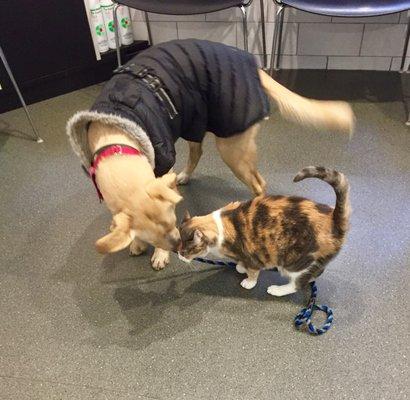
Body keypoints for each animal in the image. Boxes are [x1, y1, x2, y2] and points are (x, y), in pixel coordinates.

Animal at [65, 39, 354, 270]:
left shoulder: (162, 162)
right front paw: (135, 243)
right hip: (193, 119)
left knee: (258, 183)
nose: (178, 247)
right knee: (197, 151)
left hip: (232, 148)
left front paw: (159, 255)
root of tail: (252, 64)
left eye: (173, 222)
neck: (116, 138)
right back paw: (184, 176)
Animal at [176, 166, 350, 296]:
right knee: (315, 273)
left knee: (297, 284)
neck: (222, 224)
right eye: (178, 247)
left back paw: (278, 290)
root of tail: (334, 220)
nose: (179, 256)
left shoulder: (253, 255)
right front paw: (240, 267)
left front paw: (249, 281)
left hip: (295, 261)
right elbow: (242, 262)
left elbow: (253, 271)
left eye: (186, 251)